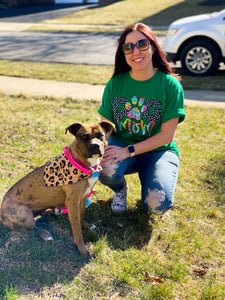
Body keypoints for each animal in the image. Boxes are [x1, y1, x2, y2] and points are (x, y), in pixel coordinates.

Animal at [0, 120, 114, 256]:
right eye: (84, 137)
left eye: (100, 135)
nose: (95, 145)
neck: (84, 164)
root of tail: (1, 213)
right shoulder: (72, 202)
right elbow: (77, 229)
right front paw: (82, 250)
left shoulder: (82, 197)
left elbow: (82, 215)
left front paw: (86, 226)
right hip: (24, 214)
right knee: (32, 225)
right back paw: (45, 233)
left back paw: (54, 212)